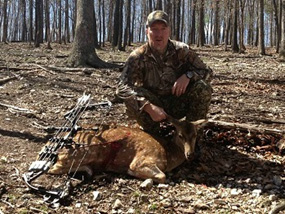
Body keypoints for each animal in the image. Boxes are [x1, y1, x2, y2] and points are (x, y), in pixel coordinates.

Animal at [43, 116, 204, 183]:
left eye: (196, 134)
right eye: (180, 135)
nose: (190, 154)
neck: (168, 155)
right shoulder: (143, 159)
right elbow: (162, 176)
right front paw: (129, 172)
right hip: (86, 150)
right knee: (53, 168)